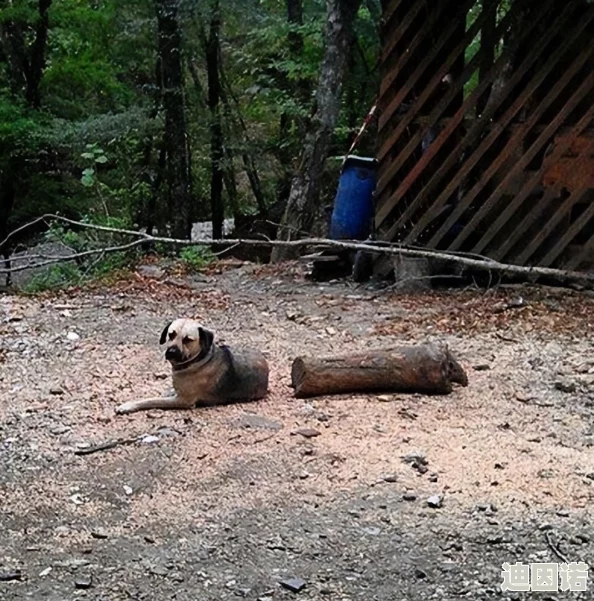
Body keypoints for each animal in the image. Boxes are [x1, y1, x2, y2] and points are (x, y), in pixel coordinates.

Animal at [115, 318, 268, 412]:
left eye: (188, 339)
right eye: (171, 334)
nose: (171, 352)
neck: (197, 361)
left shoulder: (183, 400)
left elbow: (151, 400)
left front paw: (128, 405)